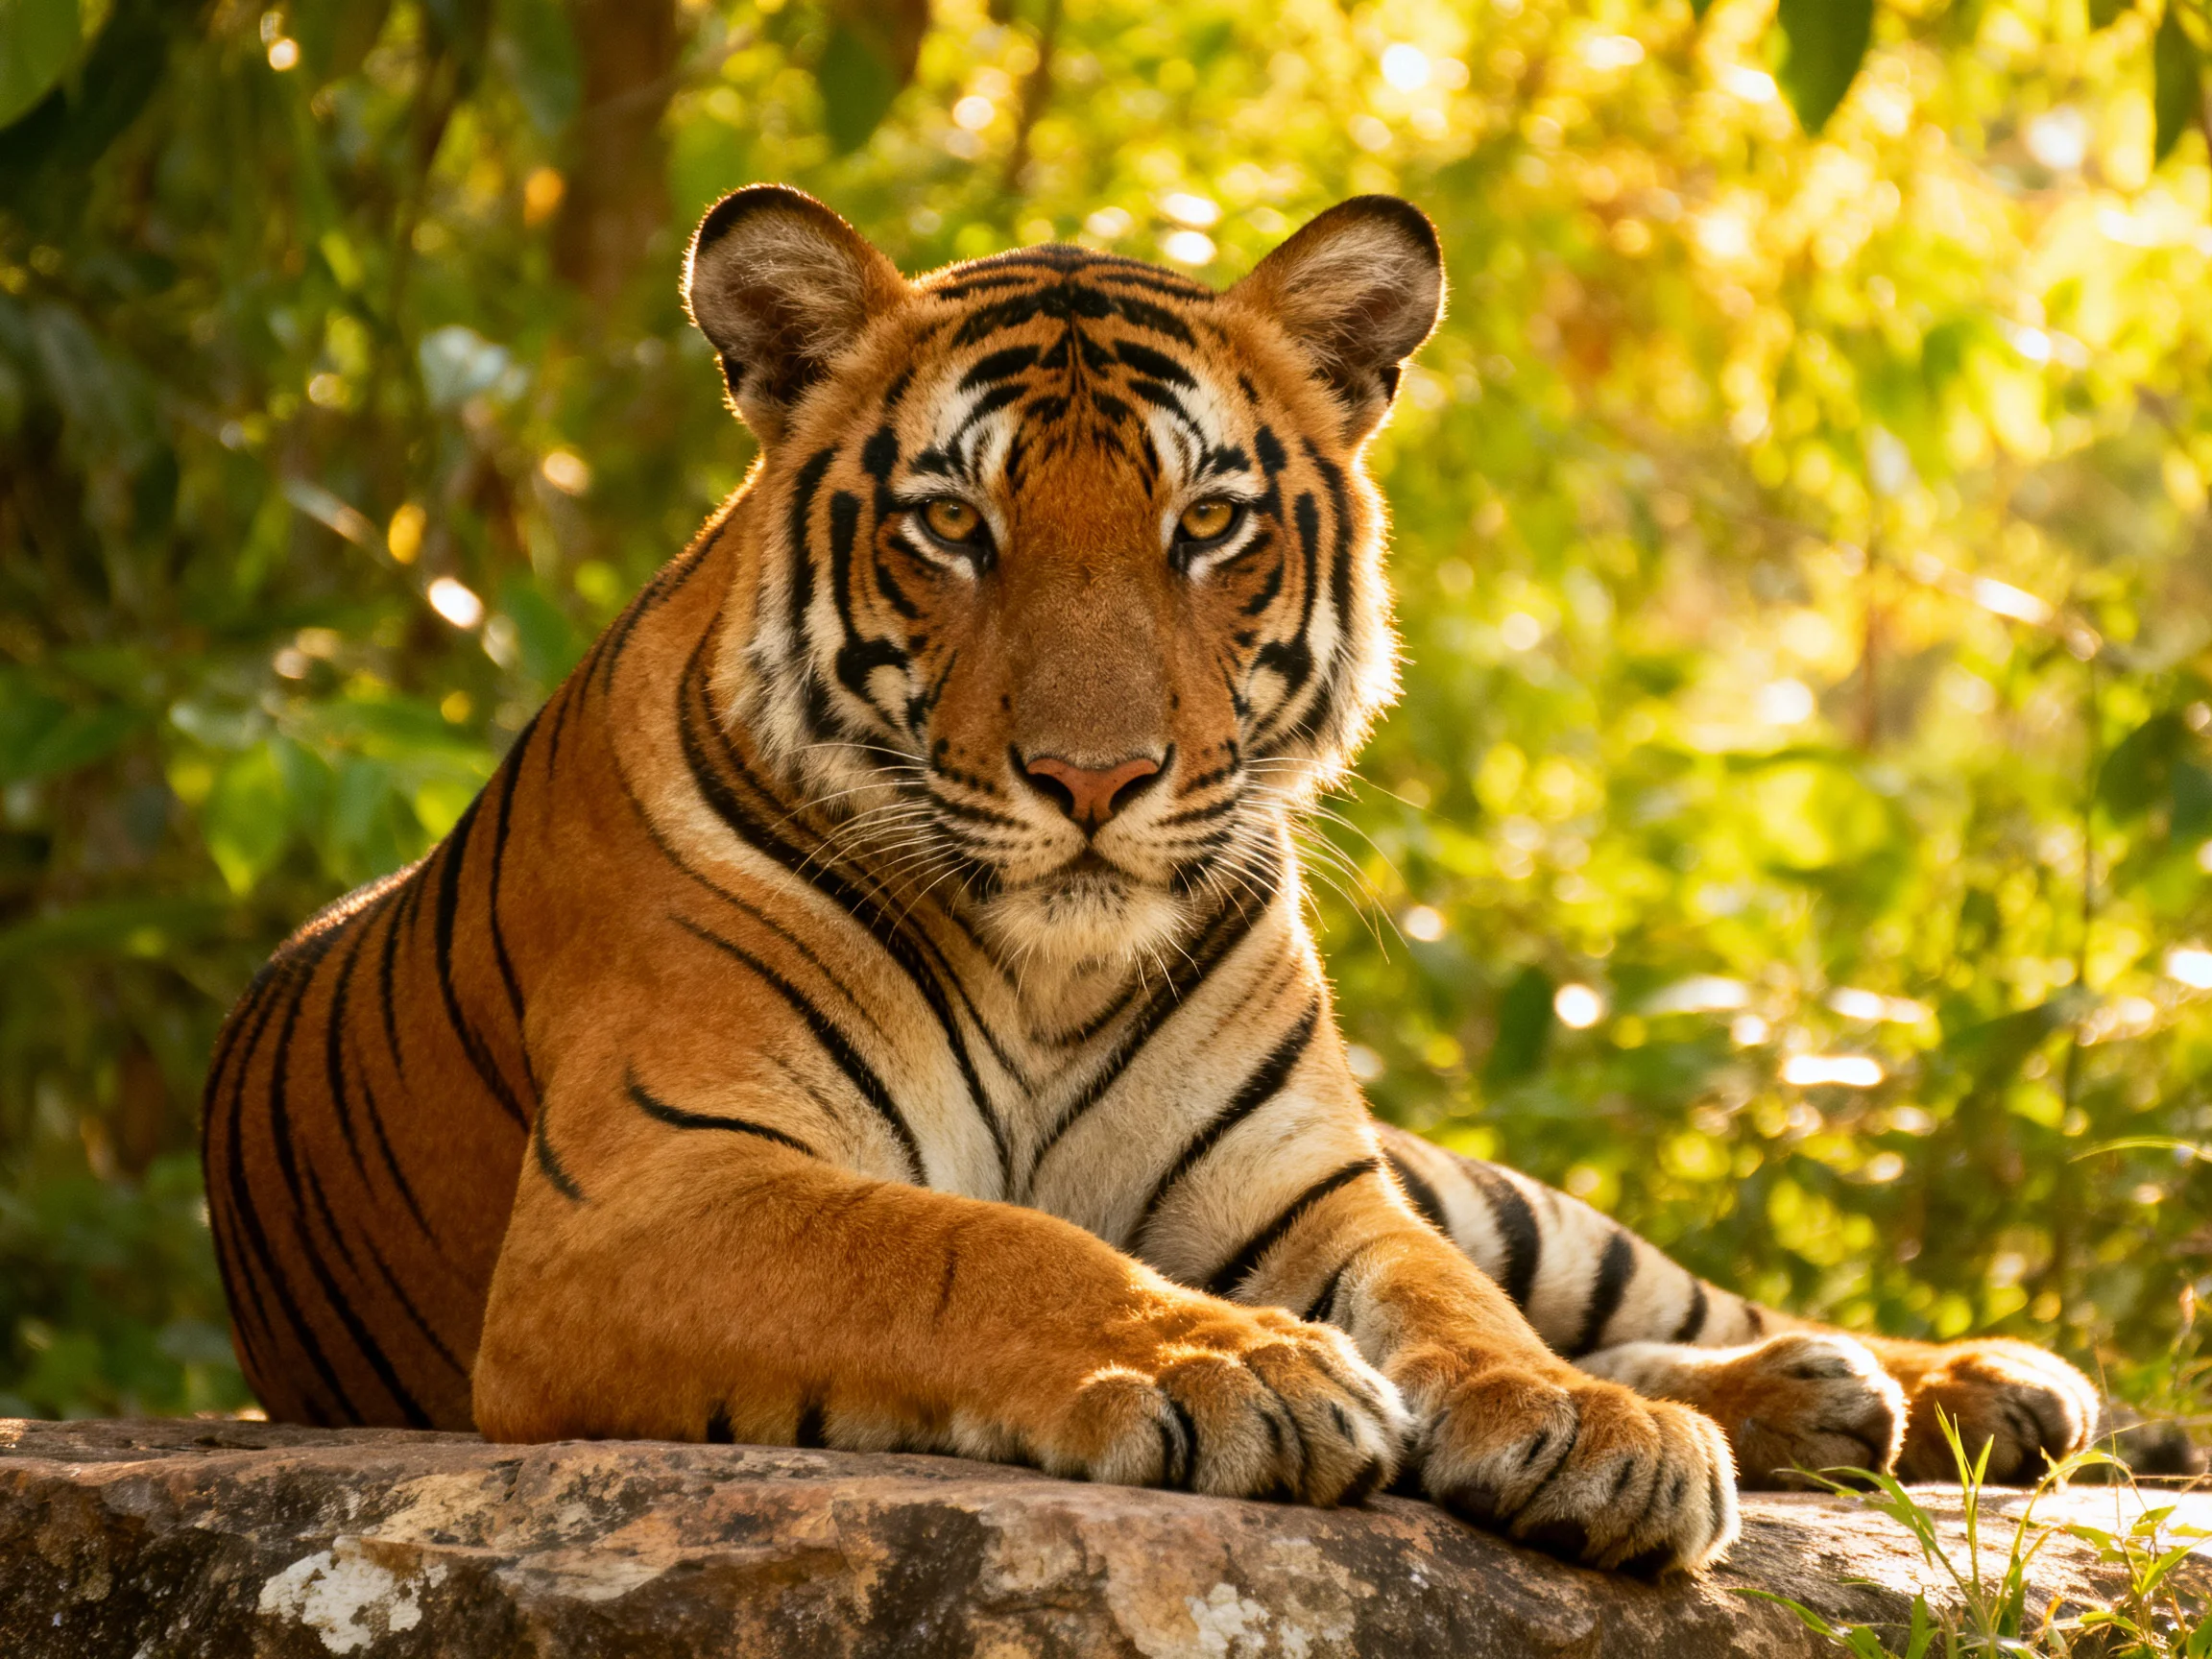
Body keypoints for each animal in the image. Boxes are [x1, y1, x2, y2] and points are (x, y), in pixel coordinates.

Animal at [201, 186, 2100, 1575]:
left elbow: (1453, 1304)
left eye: (1206, 524)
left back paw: (1933, 1382)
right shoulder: (651, 1190)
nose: (1094, 780)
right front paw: (1229, 1364)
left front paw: (1582, 1427)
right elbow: (960, 1243)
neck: (1051, 970)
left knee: (1639, 1292)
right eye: (951, 526)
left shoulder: (1309, 1189)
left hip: (1478, 1182)